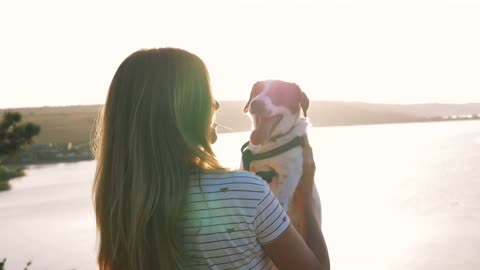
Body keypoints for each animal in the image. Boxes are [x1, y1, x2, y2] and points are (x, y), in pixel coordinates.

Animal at [240, 80, 322, 236]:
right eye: (256, 92)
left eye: (279, 93)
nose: (256, 103)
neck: (269, 143)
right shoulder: (246, 168)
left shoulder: (289, 174)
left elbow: (281, 199)